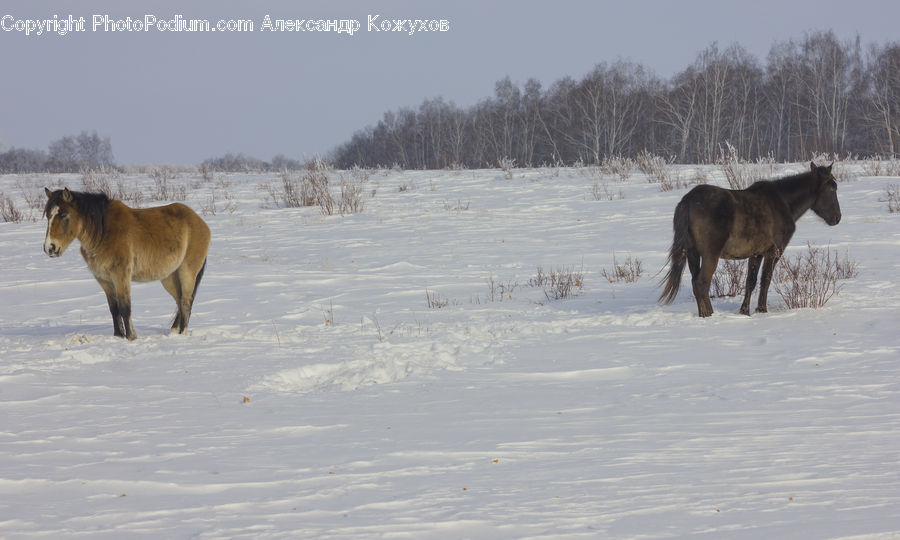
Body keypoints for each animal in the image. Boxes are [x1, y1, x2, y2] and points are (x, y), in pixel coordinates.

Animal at [43, 188, 211, 340]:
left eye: (64, 215)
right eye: (48, 215)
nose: (49, 248)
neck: (103, 233)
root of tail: (200, 222)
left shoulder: (121, 275)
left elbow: (125, 308)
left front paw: (131, 337)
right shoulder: (104, 280)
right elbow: (114, 309)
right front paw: (118, 336)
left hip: (186, 272)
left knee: (186, 302)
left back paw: (182, 334)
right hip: (169, 277)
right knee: (179, 301)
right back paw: (175, 331)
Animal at [658, 162, 842, 317]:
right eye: (832, 189)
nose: (837, 218)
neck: (784, 204)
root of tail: (688, 201)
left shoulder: (756, 253)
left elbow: (750, 282)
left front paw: (744, 311)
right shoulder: (774, 251)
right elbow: (765, 280)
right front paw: (762, 309)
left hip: (692, 254)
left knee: (696, 283)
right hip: (710, 254)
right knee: (702, 283)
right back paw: (709, 315)